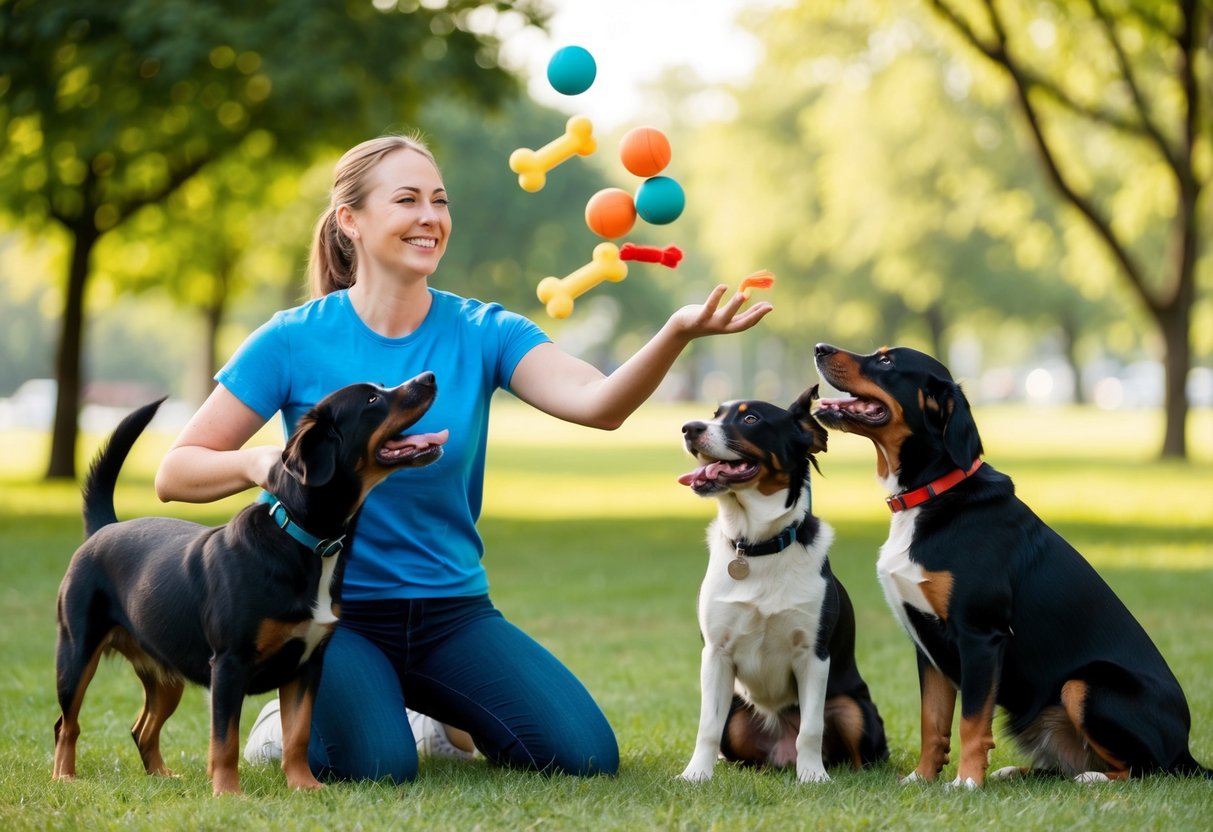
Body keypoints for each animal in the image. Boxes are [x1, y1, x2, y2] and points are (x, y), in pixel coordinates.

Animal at [53, 375, 446, 800]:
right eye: (373, 399)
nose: (428, 378)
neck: (305, 541)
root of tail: (105, 528)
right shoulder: (229, 665)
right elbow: (225, 740)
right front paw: (228, 793)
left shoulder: (307, 667)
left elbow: (297, 735)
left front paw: (304, 785)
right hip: (76, 654)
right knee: (67, 725)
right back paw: (65, 777)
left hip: (166, 674)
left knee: (143, 728)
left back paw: (161, 775)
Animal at [679, 388, 887, 785]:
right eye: (715, 415)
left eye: (751, 419)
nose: (688, 428)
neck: (759, 546)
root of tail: (781, 752)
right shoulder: (716, 653)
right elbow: (706, 726)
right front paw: (696, 774)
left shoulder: (813, 655)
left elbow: (811, 728)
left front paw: (813, 776)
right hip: (737, 719)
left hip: (852, 706)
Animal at [810, 344, 1208, 790]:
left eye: (886, 361)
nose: (820, 348)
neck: (932, 494)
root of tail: (1185, 749)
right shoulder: (927, 646)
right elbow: (933, 723)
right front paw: (922, 778)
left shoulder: (979, 636)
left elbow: (971, 723)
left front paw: (965, 784)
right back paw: (1016, 771)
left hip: (1084, 685)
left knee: (1147, 768)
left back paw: (1091, 778)